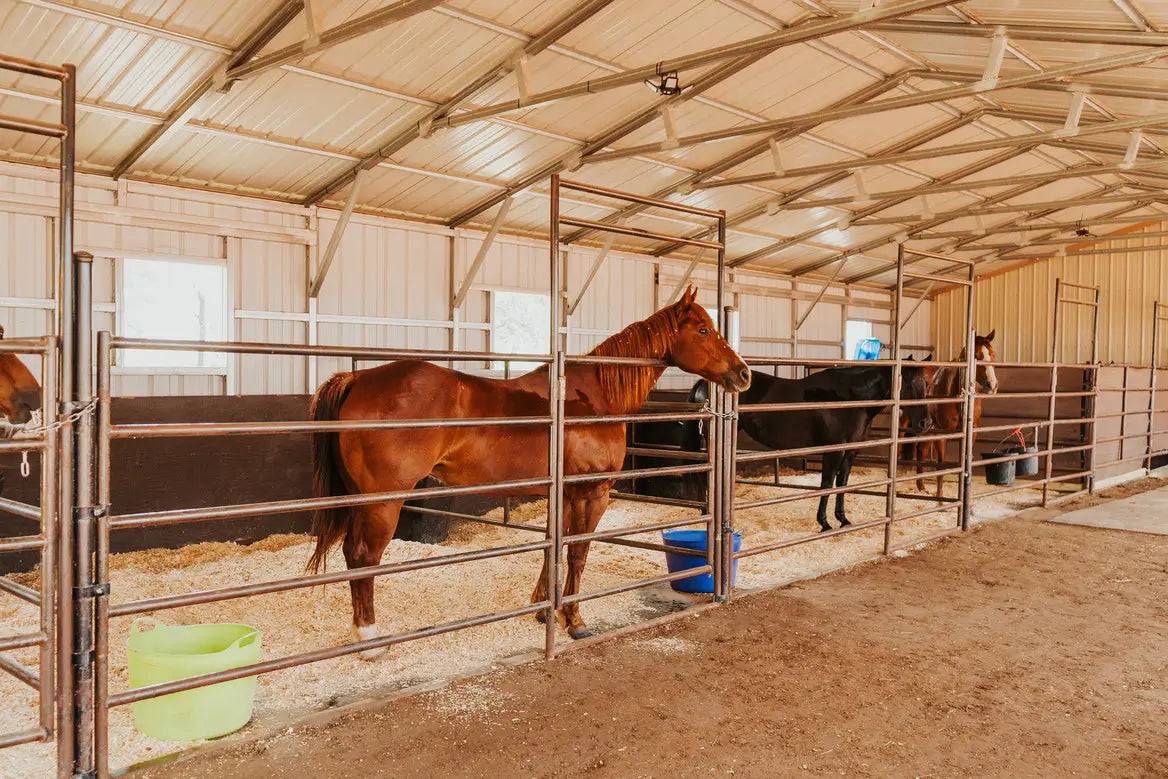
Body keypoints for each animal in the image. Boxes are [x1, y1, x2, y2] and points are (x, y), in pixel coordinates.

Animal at [310, 288, 747, 658]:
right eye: (704, 329)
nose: (743, 374)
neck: (594, 397)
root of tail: (357, 378)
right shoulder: (592, 493)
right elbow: (577, 554)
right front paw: (575, 621)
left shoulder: (565, 494)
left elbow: (554, 548)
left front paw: (543, 608)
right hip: (384, 500)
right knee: (364, 556)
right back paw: (370, 640)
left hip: (361, 498)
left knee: (350, 553)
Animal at [682, 362, 934, 532]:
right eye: (906, 383)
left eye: (926, 383)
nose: (926, 423)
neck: (848, 400)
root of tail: (704, 384)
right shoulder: (833, 452)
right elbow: (826, 485)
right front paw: (824, 523)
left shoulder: (850, 453)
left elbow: (842, 484)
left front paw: (843, 520)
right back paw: (705, 513)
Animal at [901, 331, 995, 492]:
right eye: (976, 355)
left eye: (992, 354)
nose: (992, 385)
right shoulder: (941, 433)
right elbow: (940, 467)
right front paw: (940, 497)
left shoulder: (971, 434)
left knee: (921, 448)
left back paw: (921, 483)